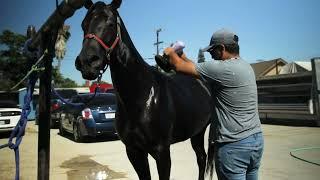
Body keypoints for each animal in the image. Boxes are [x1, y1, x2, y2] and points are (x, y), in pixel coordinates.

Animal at [75, 0, 212, 179]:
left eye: (110, 23)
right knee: (201, 158)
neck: (142, 96)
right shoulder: (134, 151)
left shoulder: (162, 152)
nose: (87, 62)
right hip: (196, 132)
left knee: (202, 159)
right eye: (83, 24)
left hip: (202, 131)